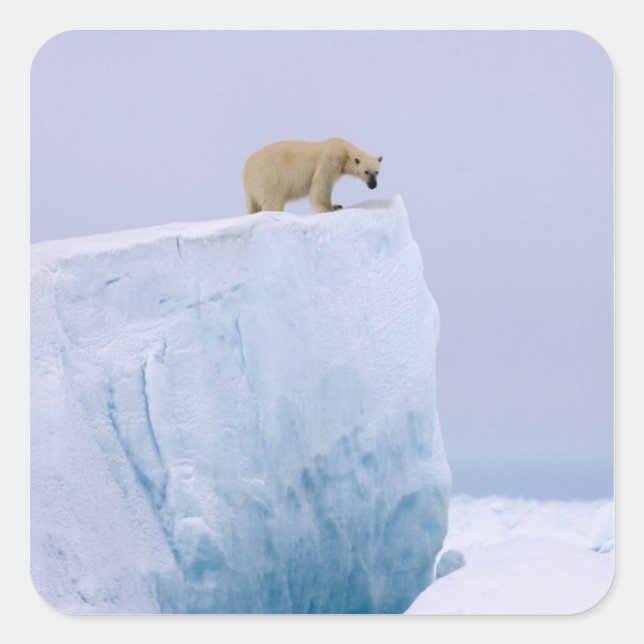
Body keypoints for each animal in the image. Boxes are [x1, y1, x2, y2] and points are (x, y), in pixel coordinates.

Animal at [243, 137, 382, 214]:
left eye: (377, 172)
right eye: (366, 172)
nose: (373, 185)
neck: (345, 151)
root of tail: (247, 168)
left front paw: (336, 205)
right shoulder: (330, 157)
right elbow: (322, 182)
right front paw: (331, 208)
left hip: (253, 188)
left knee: (253, 205)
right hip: (269, 176)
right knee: (272, 199)